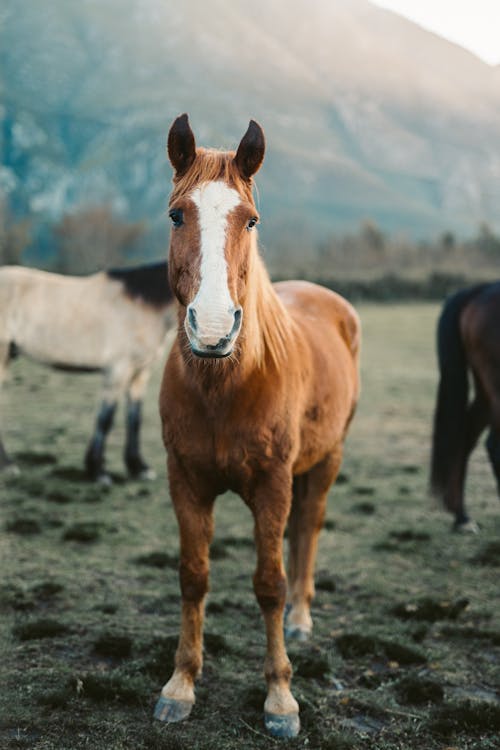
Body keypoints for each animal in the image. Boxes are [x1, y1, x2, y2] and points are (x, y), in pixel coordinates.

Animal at [0, 262, 176, 482]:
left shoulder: (139, 374)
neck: (143, 304)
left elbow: (134, 419)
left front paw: (138, 468)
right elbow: (105, 418)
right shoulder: (117, 370)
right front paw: (98, 471)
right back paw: (7, 465)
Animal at [156, 117, 360, 740]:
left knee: (308, 530)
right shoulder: (185, 481)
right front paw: (181, 685)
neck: (224, 385)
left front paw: (280, 698)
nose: (213, 328)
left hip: (326, 462)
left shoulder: (273, 483)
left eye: (251, 219)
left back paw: (301, 618)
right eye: (177, 215)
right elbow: (193, 576)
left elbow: (270, 583)